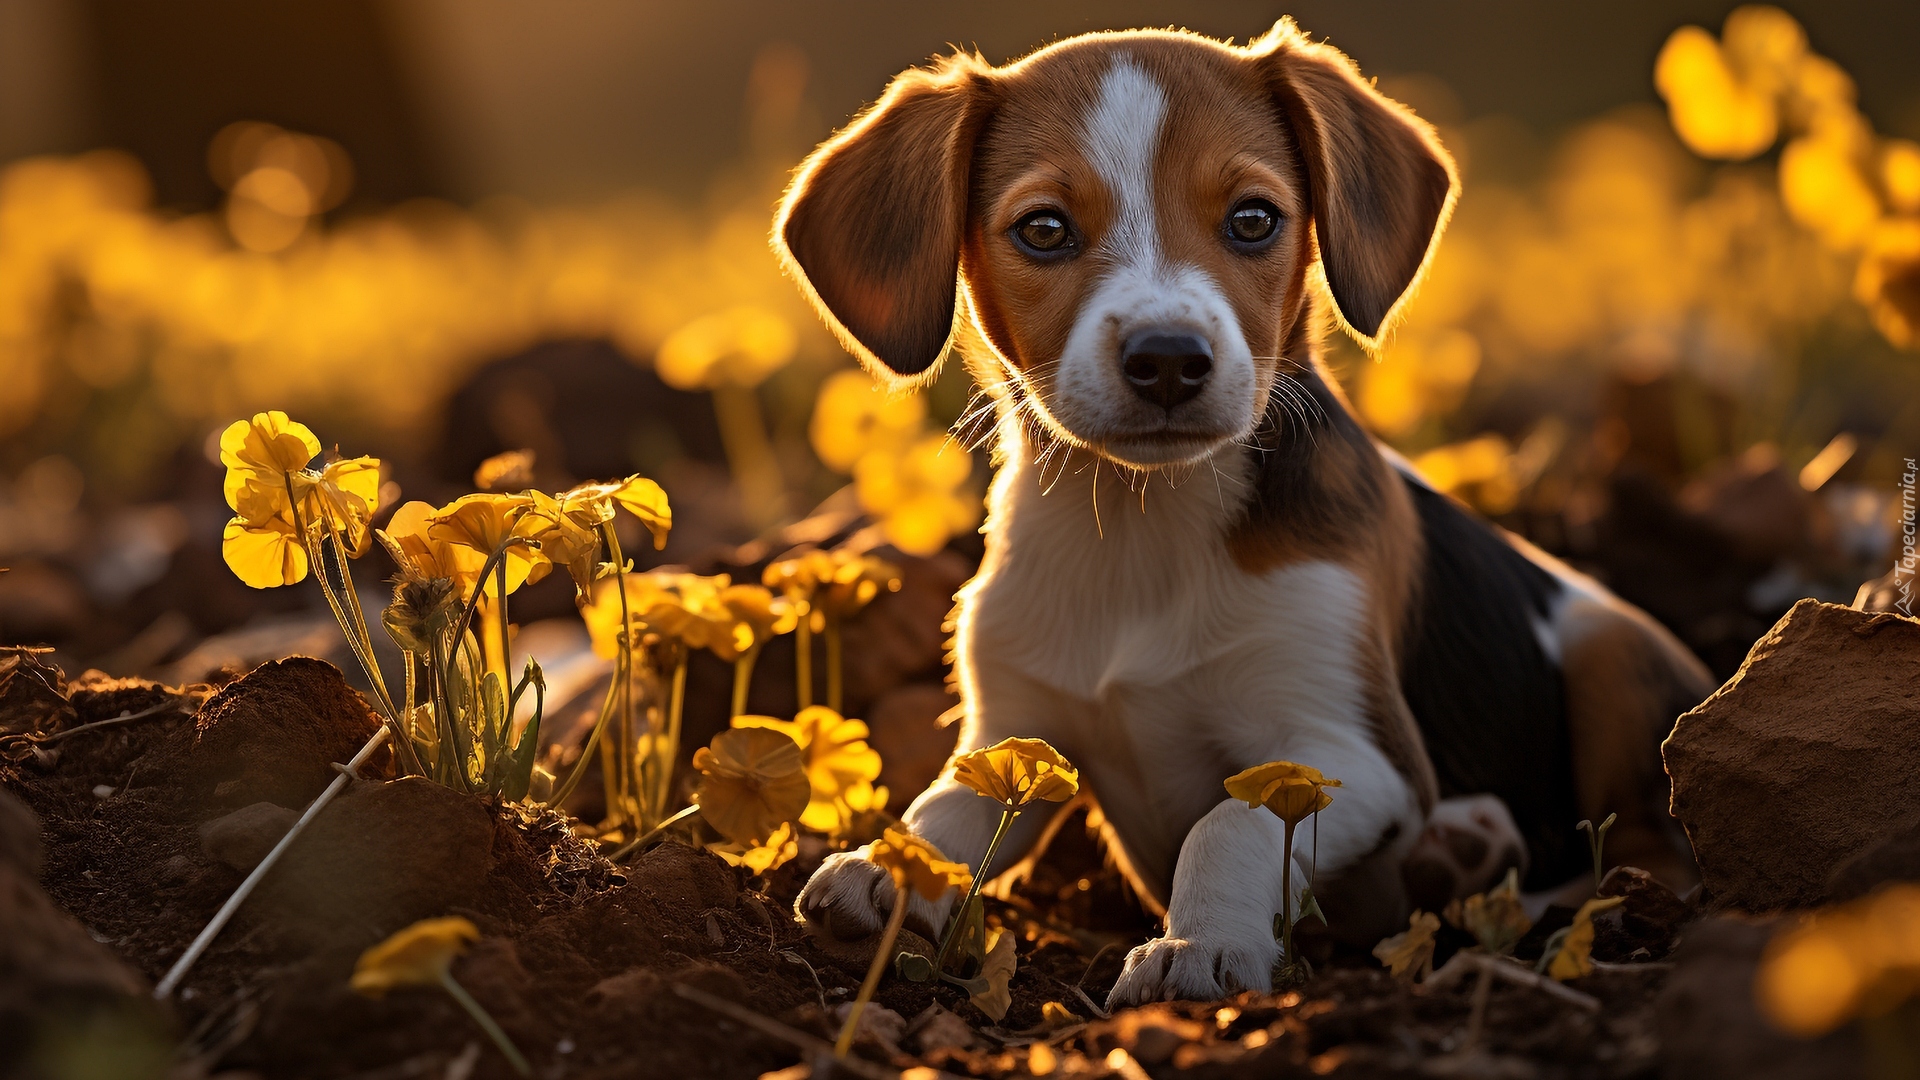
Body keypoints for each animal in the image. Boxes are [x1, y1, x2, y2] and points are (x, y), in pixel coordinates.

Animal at [771, 21, 1704, 1006]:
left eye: (1254, 219)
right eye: (1044, 229)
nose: (1168, 359)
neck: (1140, 522)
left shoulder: (1355, 752)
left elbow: (1232, 819)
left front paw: (1198, 945)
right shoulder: (1021, 729)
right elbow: (955, 803)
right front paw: (891, 865)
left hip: (1615, 657)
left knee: (1650, 857)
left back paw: (1491, 874)